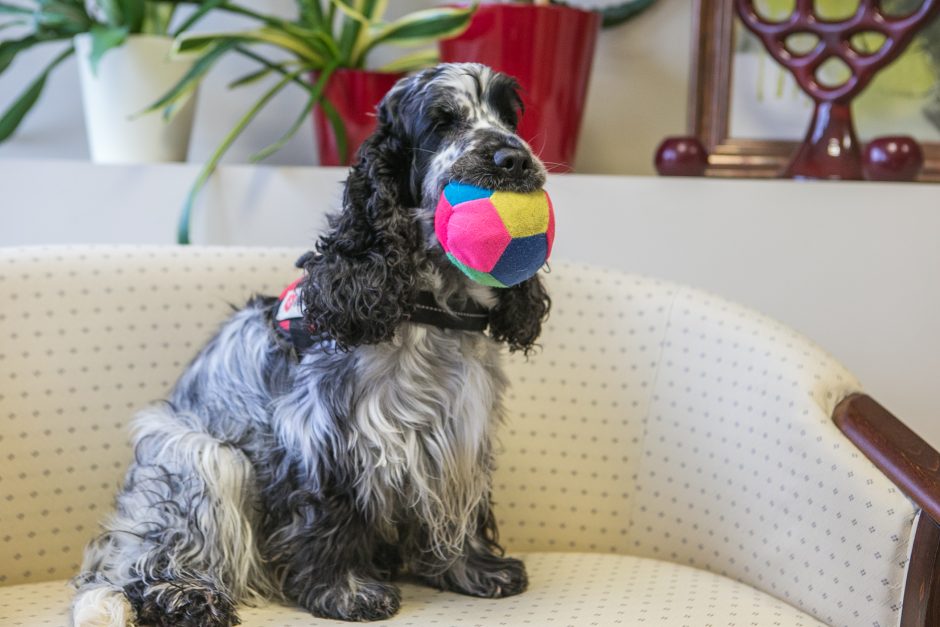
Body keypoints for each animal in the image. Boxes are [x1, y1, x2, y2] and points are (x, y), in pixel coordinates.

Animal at [71, 65, 552, 627]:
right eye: (442, 122)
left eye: (509, 117)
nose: (513, 158)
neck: (431, 310)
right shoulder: (321, 433)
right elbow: (329, 511)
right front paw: (346, 591)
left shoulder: (460, 434)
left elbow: (463, 511)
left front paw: (477, 570)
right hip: (202, 460)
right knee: (145, 560)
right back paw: (187, 598)